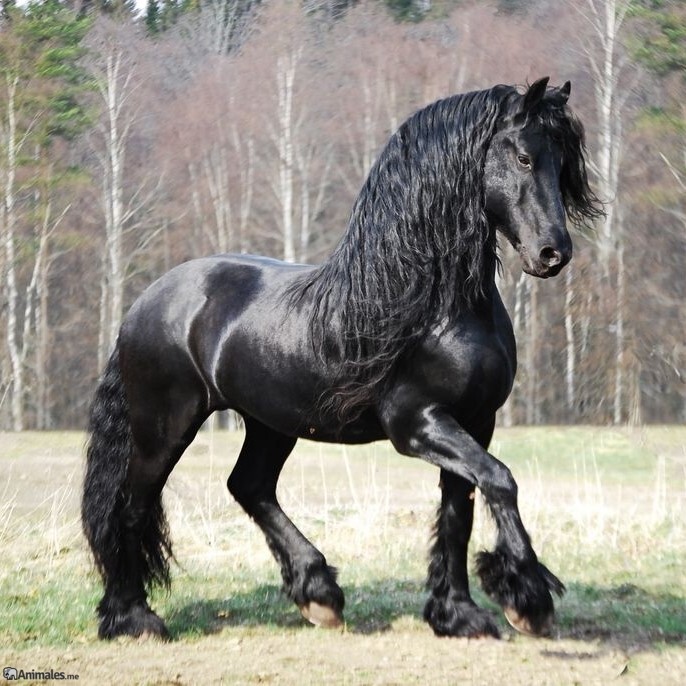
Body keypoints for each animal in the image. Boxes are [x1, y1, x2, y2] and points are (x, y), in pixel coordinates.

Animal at [82, 77, 603, 641]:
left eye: (564, 163)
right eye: (525, 157)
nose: (553, 253)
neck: (433, 305)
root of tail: (145, 302)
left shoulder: (475, 421)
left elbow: (458, 512)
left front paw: (458, 613)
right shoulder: (417, 425)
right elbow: (501, 481)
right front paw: (527, 597)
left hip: (270, 423)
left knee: (249, 486)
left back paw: (318, 594)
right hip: (165, 428)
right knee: (131, 508)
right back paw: (133, 617)